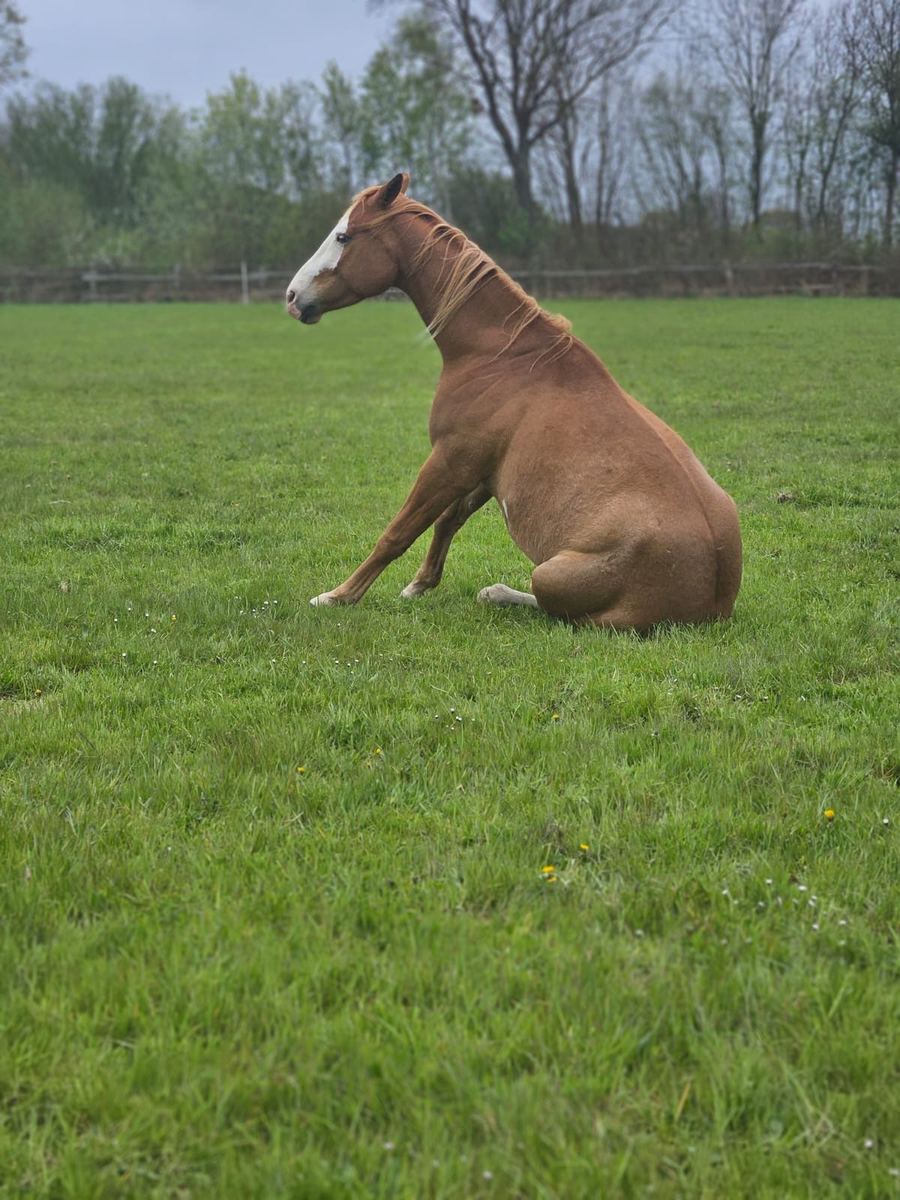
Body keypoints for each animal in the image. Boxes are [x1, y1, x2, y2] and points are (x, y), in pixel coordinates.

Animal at [286, 173, 742, 630]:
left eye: (343, 236)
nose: (292, 296)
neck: (500, 355)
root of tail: (709, 606)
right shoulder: (483, 472)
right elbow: (448, 520)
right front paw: (419, 584)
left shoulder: (449, 461)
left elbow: (398, 532)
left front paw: (339, 596)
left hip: (551, 575)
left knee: (558, 610)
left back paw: (498, 593)